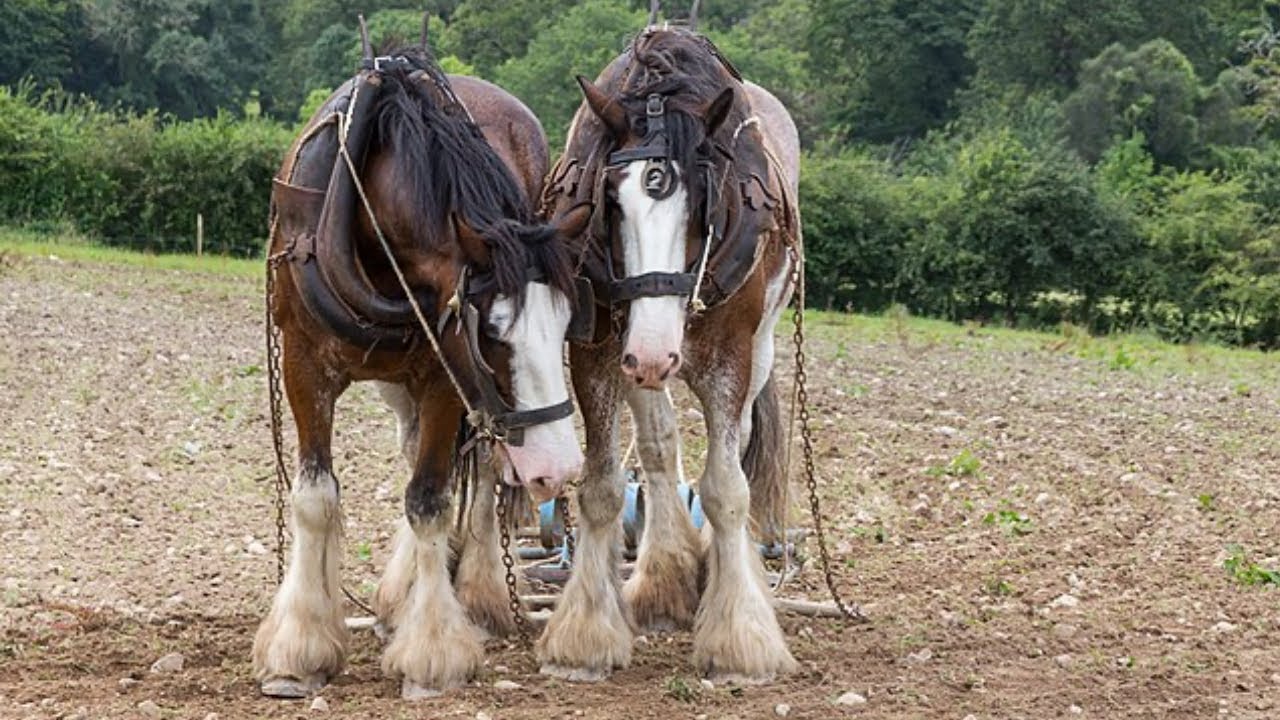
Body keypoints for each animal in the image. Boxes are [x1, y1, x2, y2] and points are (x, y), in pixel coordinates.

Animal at [252, 33, 590, 699]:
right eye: (493, 332)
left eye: (566, 323)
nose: (559, 470)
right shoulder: (304, 364)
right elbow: (315, 497)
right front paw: (298, 650)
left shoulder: (443, 379)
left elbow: (430, 499)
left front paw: (432, 651)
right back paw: (395, 600)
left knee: (481, 469)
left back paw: (478, 597)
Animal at [538, 25, 801, 683]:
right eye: (609, 199)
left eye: (702, 203)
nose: (657, 354)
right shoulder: (600, 351)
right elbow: (603, 487)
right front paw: (584, 635)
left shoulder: (730, 356)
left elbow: (727, 490)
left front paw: (740, 638)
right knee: (658, 450)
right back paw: (664, 578)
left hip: (755, 348)